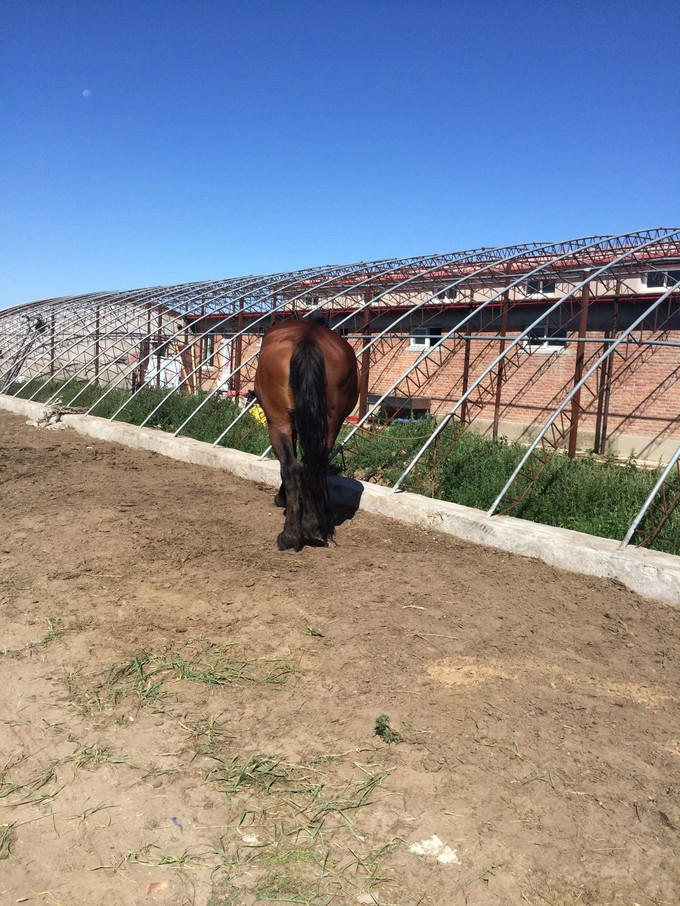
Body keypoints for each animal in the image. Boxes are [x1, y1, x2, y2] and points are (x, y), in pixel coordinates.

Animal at [255, 314, 362, 548]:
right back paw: (313, 526)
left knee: (292, 466)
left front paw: (282, 499)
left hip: (278, 420)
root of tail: (308, 337)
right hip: (331, 423)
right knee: (312, 463)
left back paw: (291, 534)